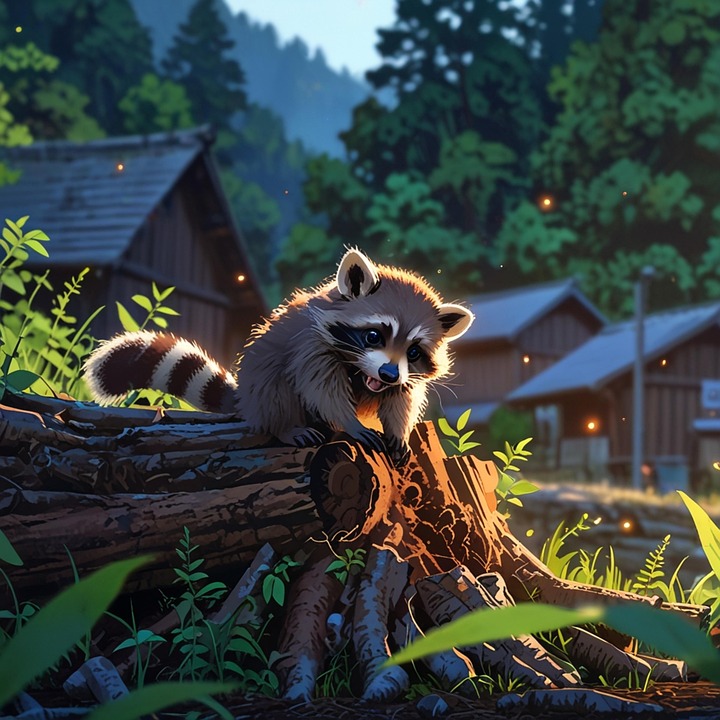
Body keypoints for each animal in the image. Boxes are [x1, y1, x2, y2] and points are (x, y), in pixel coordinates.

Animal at [84, 249, 474, 461]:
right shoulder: (309, 346)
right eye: (374, 335)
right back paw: (287, 427)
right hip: (262, 380)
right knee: (277, 389)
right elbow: (321, 389)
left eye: (414, 351)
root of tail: (247, 400)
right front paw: (349, 422)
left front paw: (398, 431)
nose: (389, 374)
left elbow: (400, 399)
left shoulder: (405, 376)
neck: (360, 370)